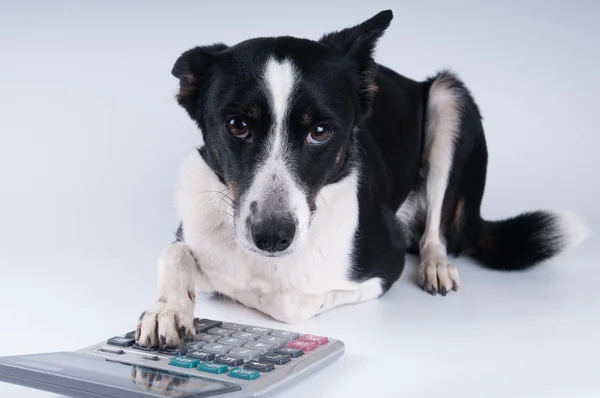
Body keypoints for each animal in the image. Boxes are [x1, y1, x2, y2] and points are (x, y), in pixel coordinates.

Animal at [135, 9, 592, 348]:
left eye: (320, 131)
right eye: (237, 125)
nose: (272, 237)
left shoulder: (381, 267)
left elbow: (288, 302)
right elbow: (174, 253)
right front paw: (167, 309)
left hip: (449, 97)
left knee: (437, 229)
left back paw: (436, 264)